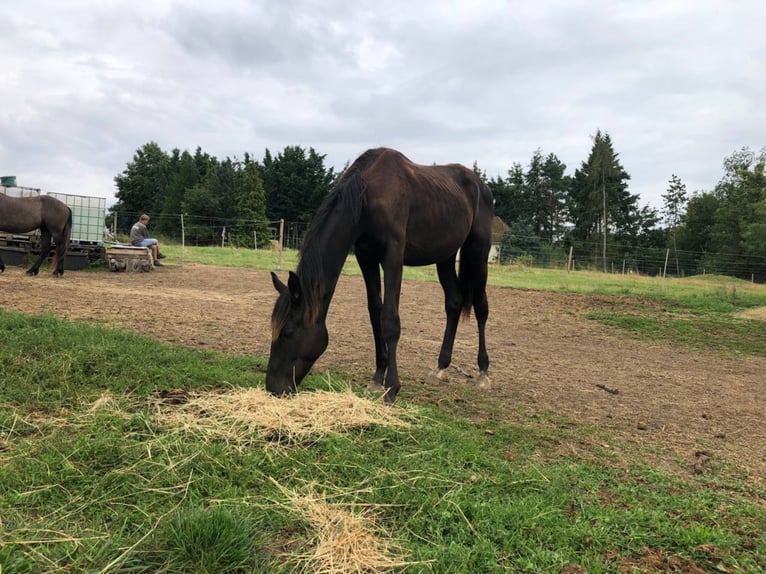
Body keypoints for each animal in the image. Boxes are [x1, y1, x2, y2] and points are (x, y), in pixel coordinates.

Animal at [268, 148, 496, 404]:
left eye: (288, 332)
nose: (273, 388)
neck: (366, 196)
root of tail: (480, 185)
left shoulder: (392, 255)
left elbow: (389, 319)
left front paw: (392, 388)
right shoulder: (366, 256)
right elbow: (375, 312)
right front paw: (377, 378)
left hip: (478, 251)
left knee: (481, 307)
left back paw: (483, 372)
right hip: (445, 256)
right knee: (454, 302)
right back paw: (439, 368)